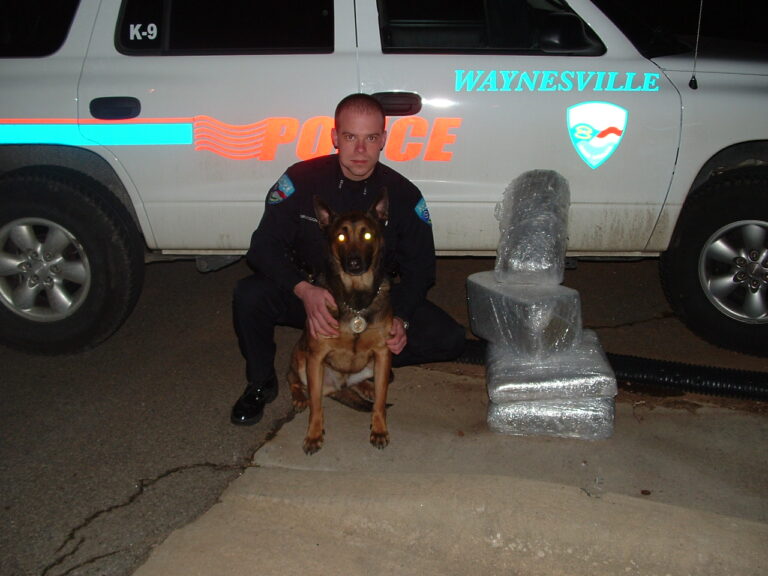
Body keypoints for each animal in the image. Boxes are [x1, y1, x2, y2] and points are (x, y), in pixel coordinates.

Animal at [290, 189, 392, 454]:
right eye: (341, 236)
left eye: (367, 234)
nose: (354, 263)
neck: (356, 299)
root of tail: (337, 386)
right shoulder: (316, 357)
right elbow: (316, 405)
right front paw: (314, 434)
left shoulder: (383, 353)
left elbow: (380, 400)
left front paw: (379, 429)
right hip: (301, 358)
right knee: (294, 380)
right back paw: (299, 397)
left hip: (378, 366)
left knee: (368, 383)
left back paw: (367, 386)